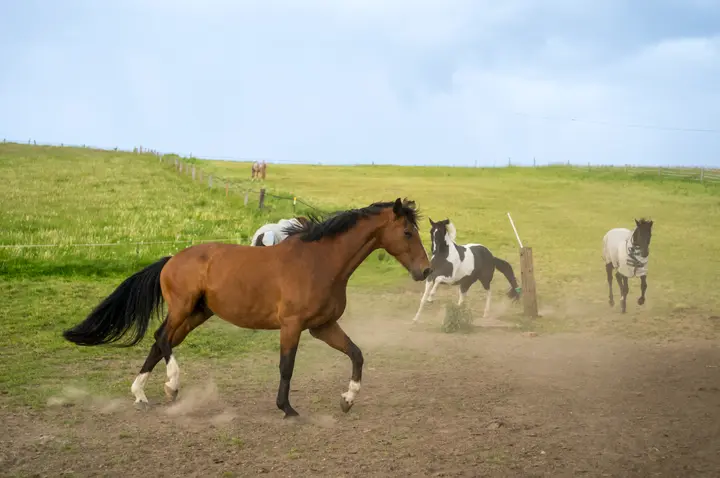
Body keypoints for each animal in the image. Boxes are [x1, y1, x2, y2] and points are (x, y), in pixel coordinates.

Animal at [62, 198, 431, 418]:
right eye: (407, 232)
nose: (425, 271)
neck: (321, 262)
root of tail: (171, 259)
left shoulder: (322, 326)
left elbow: (356, 353)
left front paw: (348, 399)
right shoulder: (292, 325)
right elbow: (287, 366)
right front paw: (287, 408)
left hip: (198, 313)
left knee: (159, 342)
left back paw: (140, 394)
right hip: (182, 308)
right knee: (161, 338)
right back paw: (171, 385)